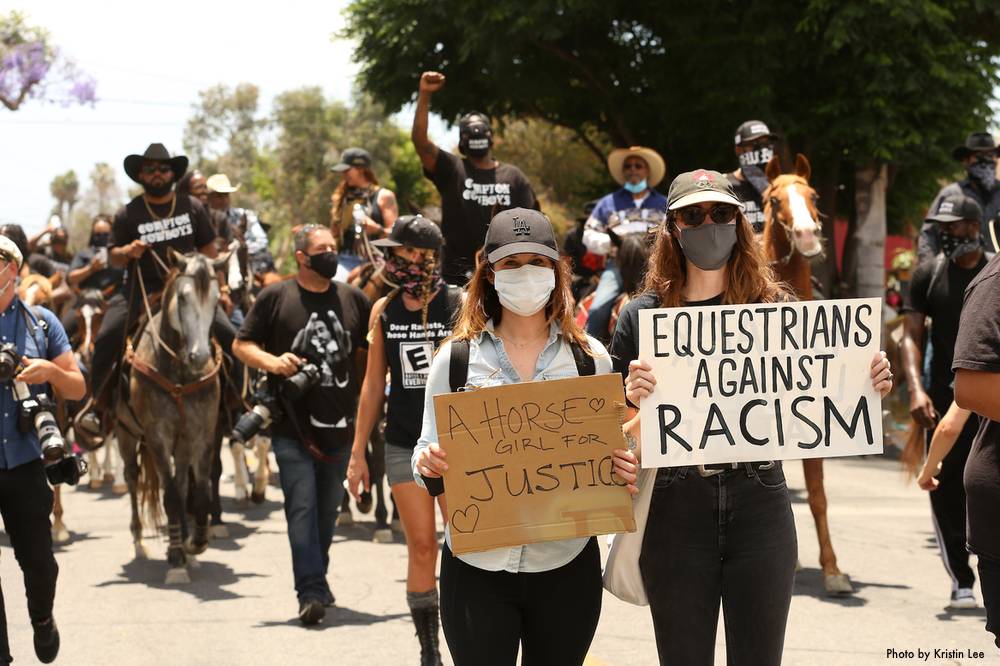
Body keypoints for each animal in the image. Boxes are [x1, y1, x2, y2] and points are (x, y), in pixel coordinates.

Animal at [114, 248, 231, 580]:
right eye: (182, 297)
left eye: (216, 300)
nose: (200, 356)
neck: (179, 373)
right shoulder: (157, 437)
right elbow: (169, 496)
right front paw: (178, 556)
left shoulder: (201, 434)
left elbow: (199, 492)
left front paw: (194, 544)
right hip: (126, 433)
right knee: (132, 477)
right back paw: (141, 541)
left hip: (182, 443)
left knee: (180, 484)